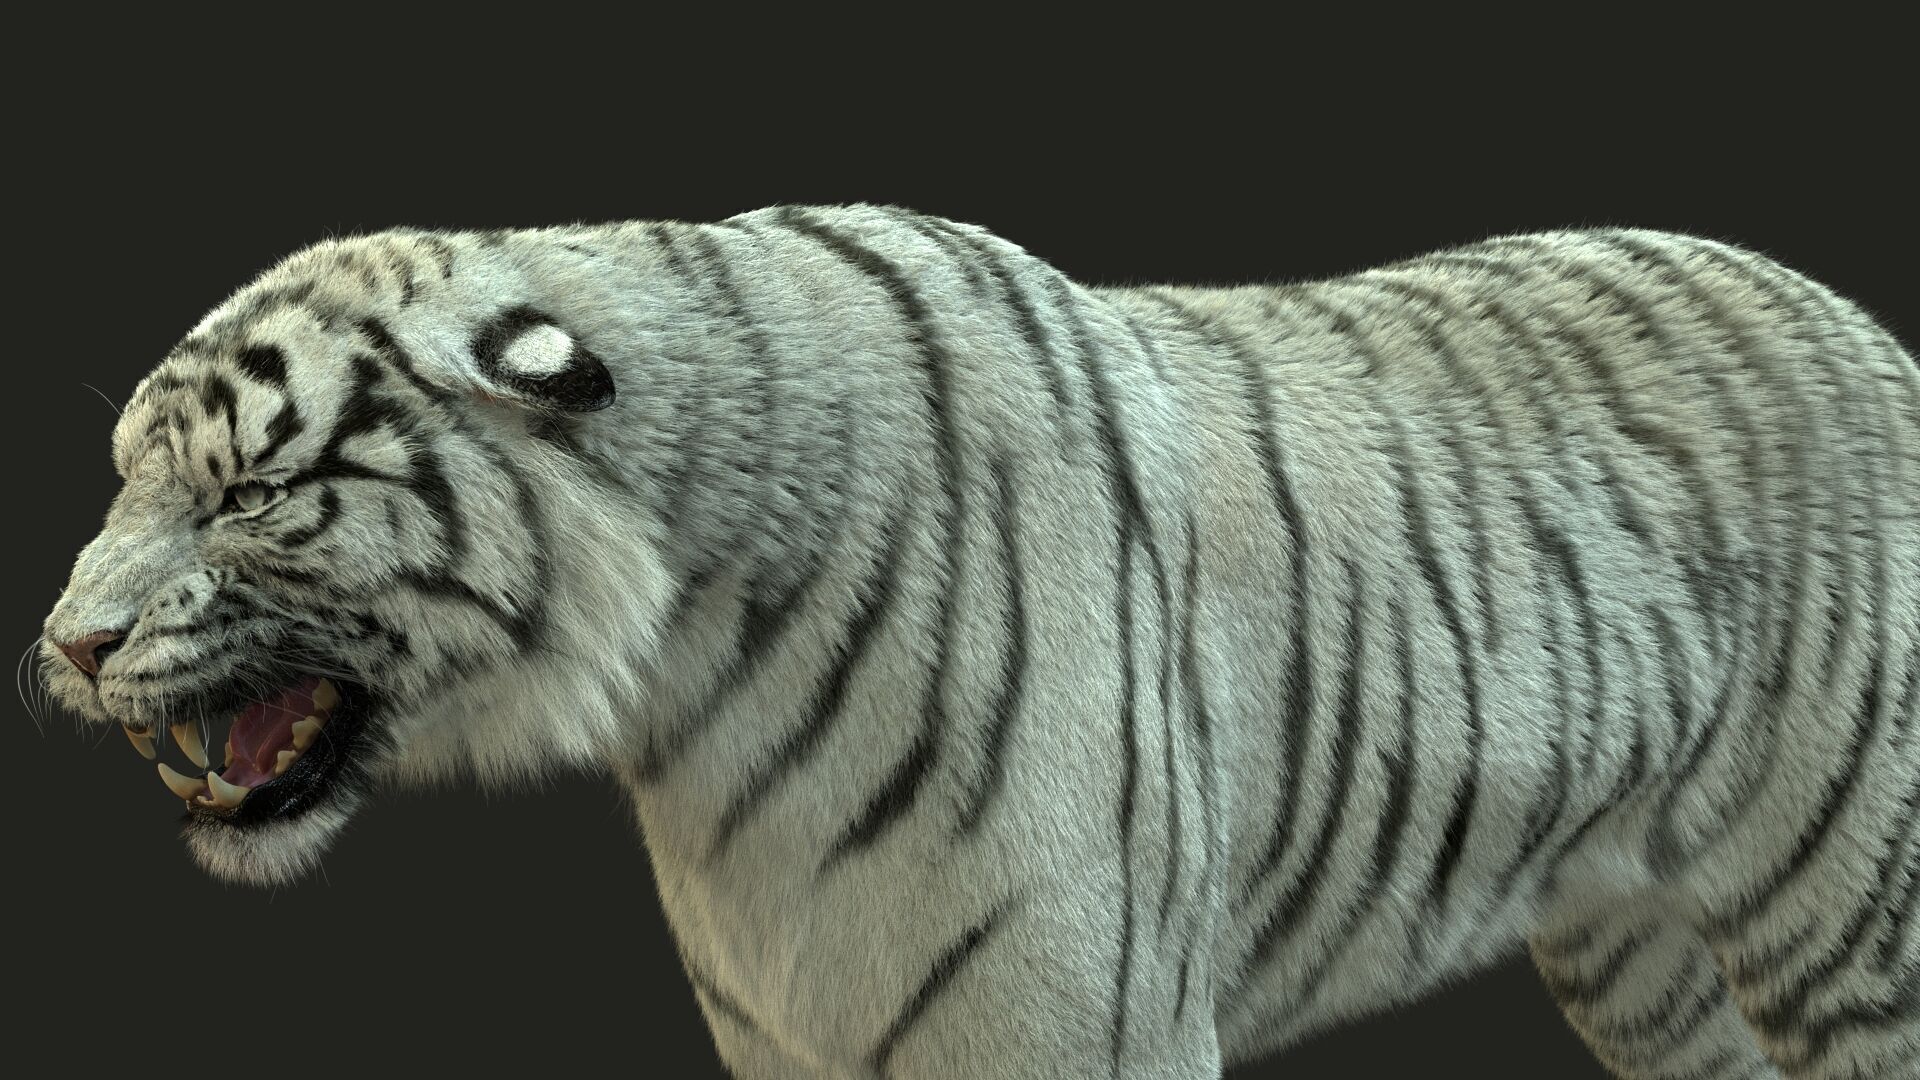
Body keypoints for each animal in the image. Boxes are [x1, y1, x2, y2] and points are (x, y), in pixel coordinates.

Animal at [39, 204, 1919, 1079]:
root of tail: (1857, 316)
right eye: (128, 472)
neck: (695, 702)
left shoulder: (1087, 1027)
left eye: (256, 492)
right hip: (1638, 945)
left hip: (1851, 915)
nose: (62, 643)